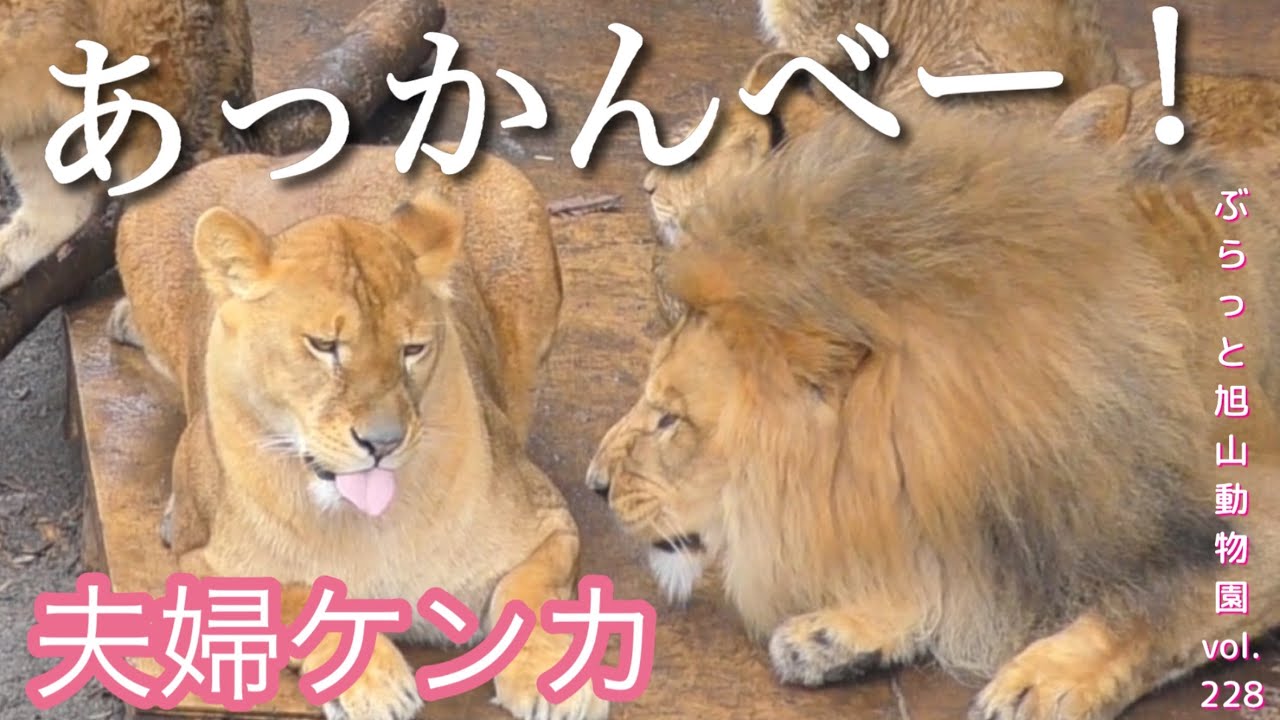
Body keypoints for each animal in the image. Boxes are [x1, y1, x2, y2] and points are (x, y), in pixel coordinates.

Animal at [107, 143, 606, 720]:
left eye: (413, 349)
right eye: (324, 346)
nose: (382, 443)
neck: (370, 524)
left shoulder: (547, 525)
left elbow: (531, 596)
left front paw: (553, 678)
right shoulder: (202, 572)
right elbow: (303, 600)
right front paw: (374, 683)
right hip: (140, 233)